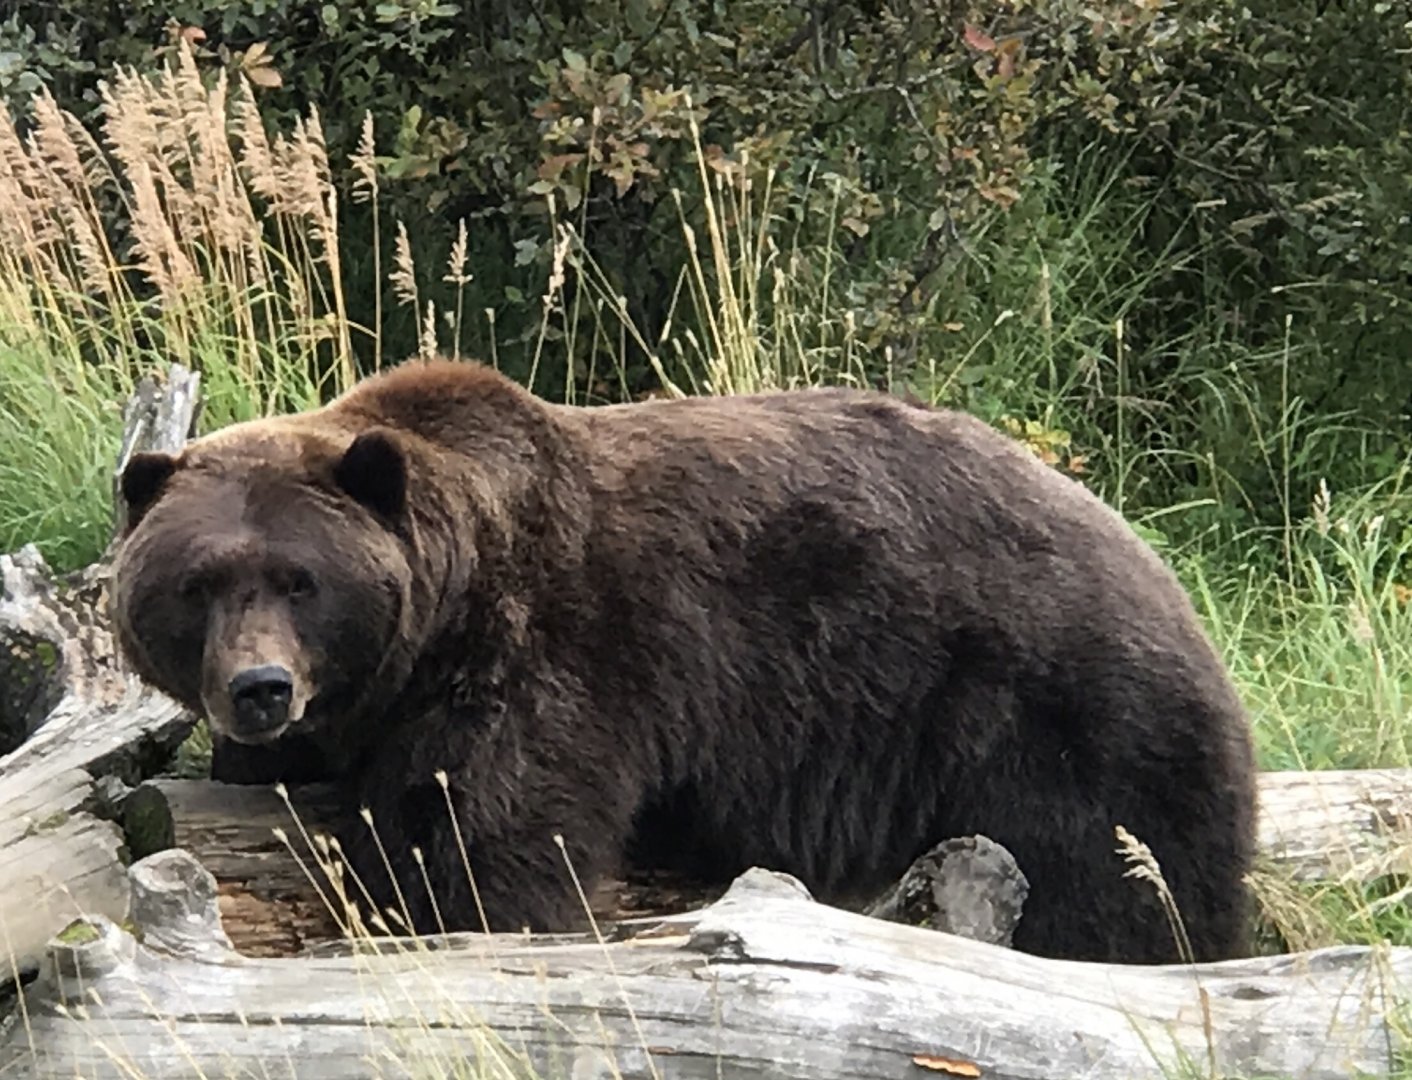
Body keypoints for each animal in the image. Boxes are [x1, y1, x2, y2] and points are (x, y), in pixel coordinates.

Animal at [109, 357, 1258, 965]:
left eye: (301, 579)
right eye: (199, 583)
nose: (259, 689)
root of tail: (1161, 570)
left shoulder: (554, 655)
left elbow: (501, 835)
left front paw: (473, 920)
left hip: (1063, 711)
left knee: (1127, 883)